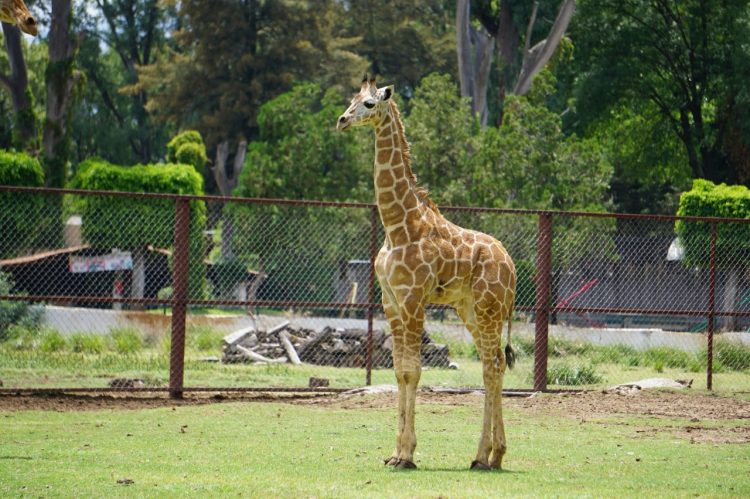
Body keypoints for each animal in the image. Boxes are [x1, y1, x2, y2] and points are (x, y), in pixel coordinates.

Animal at [340, 76, 516, 470]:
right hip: (470, 309)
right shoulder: (390, 301)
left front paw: (407, 454)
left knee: (492, 366)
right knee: (493, 364)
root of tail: (512, 266)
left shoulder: (413, 298)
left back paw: (486, 456)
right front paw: (395, 453)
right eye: (352, 99)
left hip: (489, 308)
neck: (396, 226)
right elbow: (399, 371)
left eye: (370, 104)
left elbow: (413, 371)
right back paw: (490, 455)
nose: (342, 121)